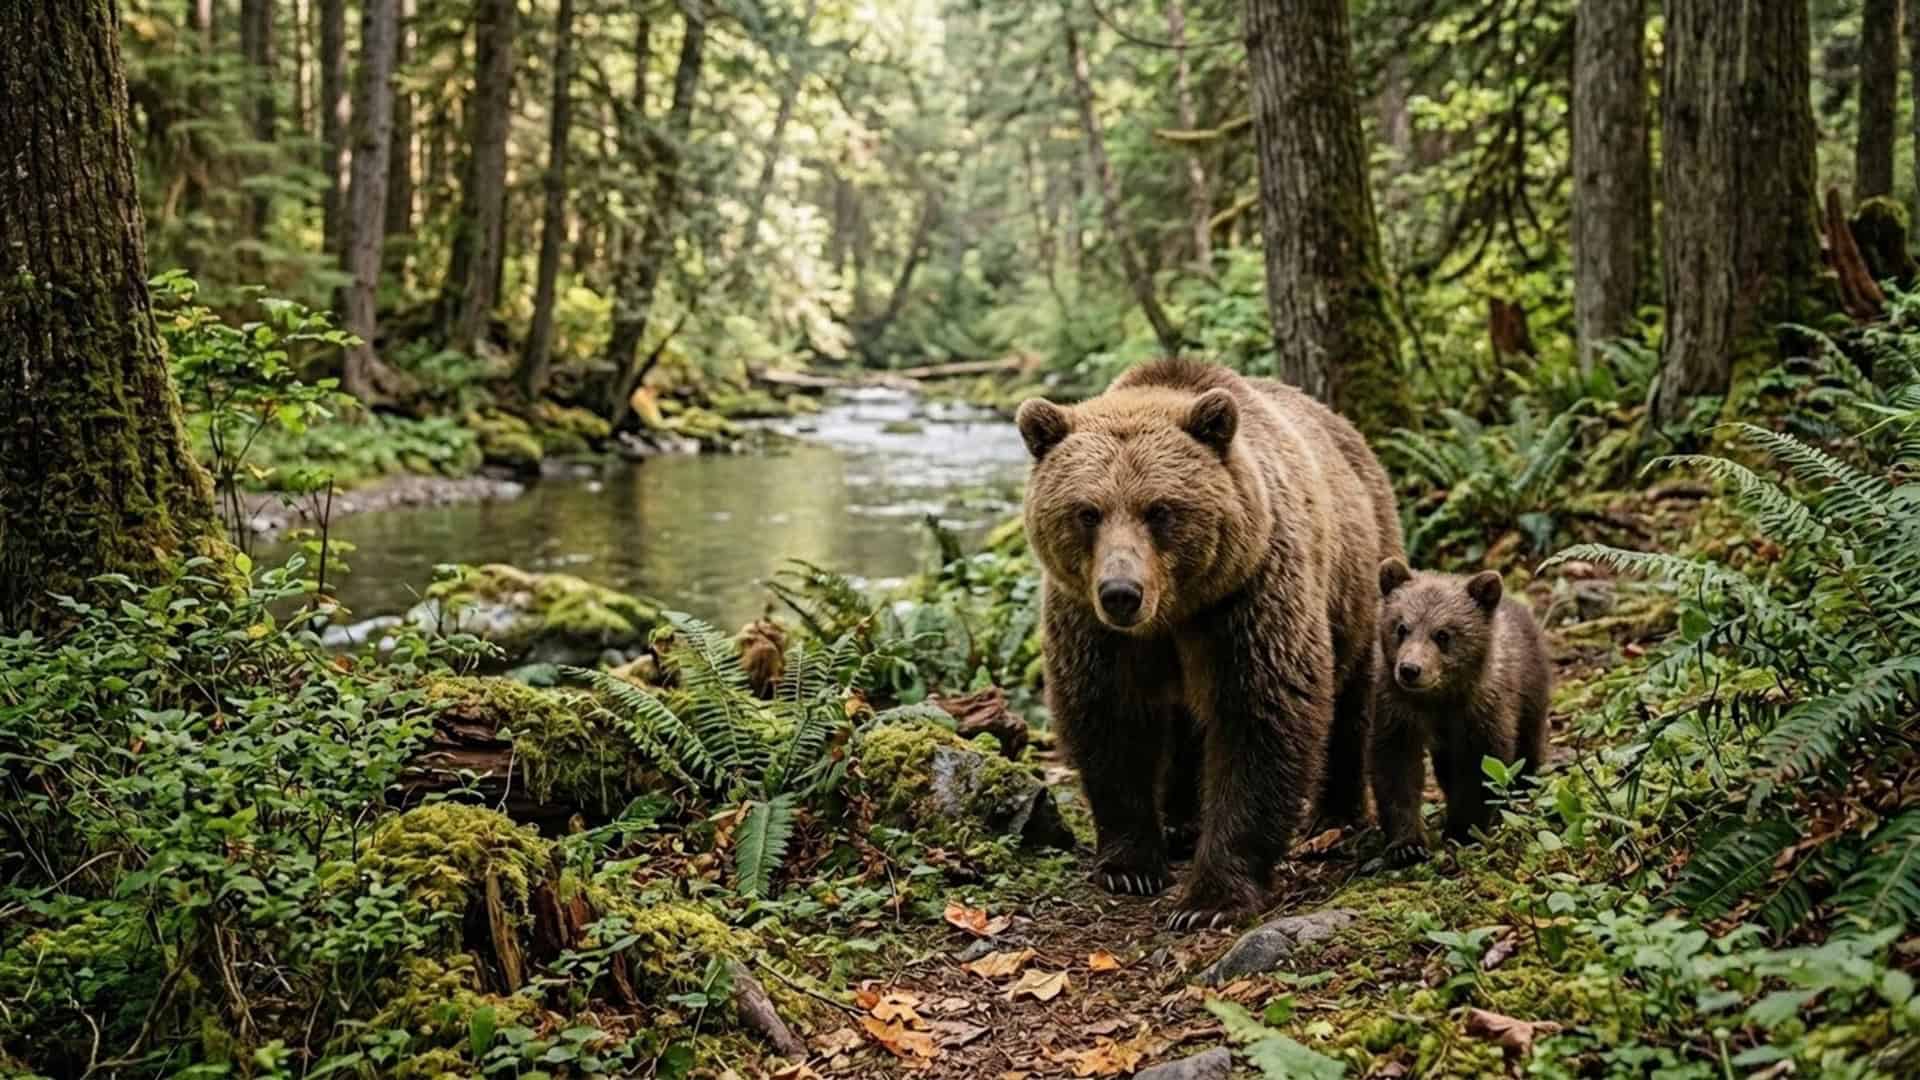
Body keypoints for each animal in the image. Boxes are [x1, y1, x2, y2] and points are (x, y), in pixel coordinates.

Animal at [1016, 358, 1404, 929]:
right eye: (1088, 511)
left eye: (1159, 510)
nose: (1121, 593)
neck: (1174, 612)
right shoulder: (1094, 627)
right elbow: (1109, 720)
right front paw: (1130, 865)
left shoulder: (1246, 600)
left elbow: (1260, 718)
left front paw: (1210, 898)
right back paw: (1180, 824)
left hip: (1359, 574)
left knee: (1353, 693)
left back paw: (1335, 816)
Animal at [1369, 559, 1552, 866]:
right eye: (1401, 627)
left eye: (1443, 634)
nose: (1409, 669)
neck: (1439, 700)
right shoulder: (1397, 711)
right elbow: (1396, 769)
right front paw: (1407, 845)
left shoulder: (1483, 711)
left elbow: (1481, 769)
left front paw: (1463, 832)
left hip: (1531, 688)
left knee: (1528, 743)